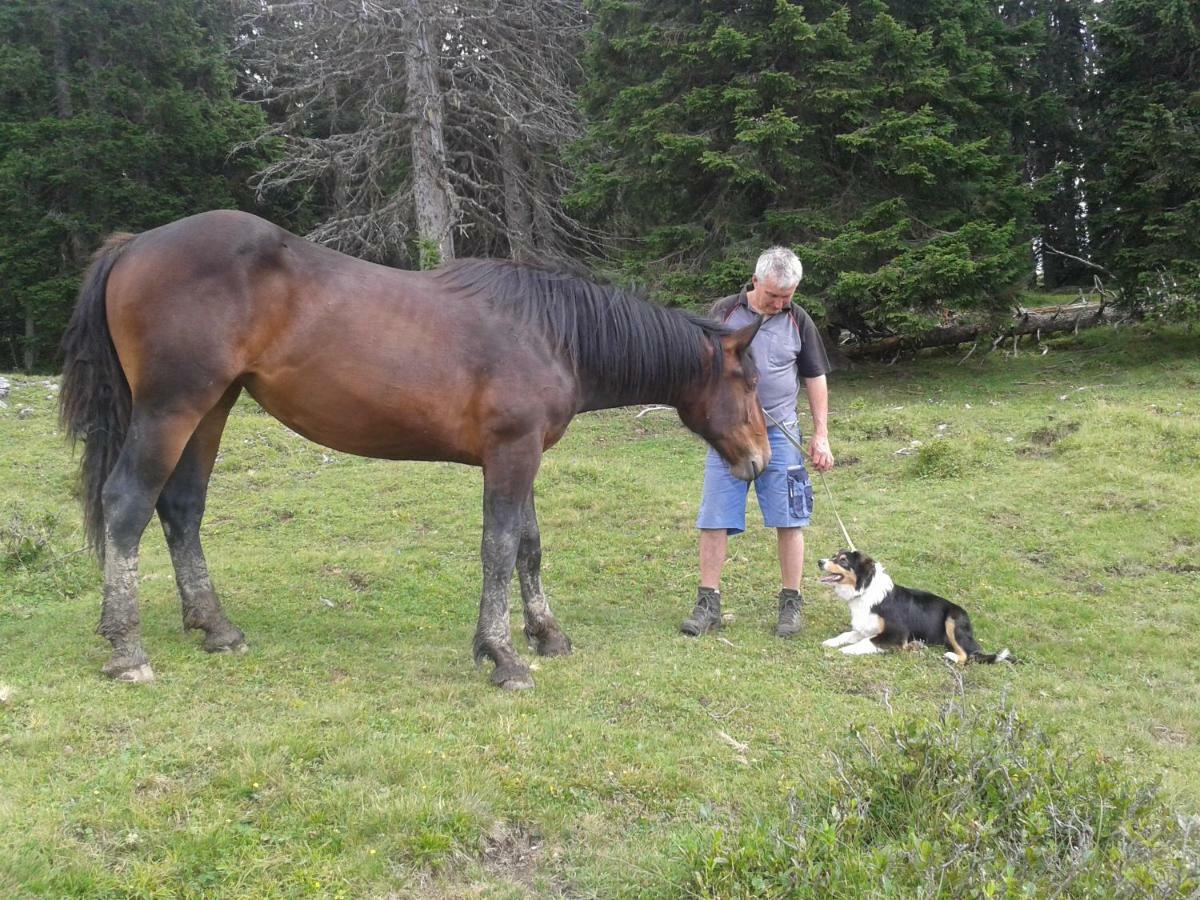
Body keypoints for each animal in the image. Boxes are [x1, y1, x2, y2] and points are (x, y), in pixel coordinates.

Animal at [58, 211, 768, 691]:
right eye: (750, 382)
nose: (760, 459)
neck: (548, 332)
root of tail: (135, 245)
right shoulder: (512, 454)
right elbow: (499, 548)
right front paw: (501, 655)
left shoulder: (522, 456)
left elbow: (528, 546)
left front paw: (546, 634)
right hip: (171, 408)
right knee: (127, 504)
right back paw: (127, 648)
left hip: (212, 409)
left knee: (181, 507)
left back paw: (215, 627)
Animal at [820, 547, 1008, 667]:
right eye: (833, 556)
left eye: (843, 561)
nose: (819, 562)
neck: (865, 590)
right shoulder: (865, 627)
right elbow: (846, 635)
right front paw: (831, 642)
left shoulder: (896, 634)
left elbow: (867, 642)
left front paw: (843, 651)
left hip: (953, 619)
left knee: (968, 656)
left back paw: (950, 656)